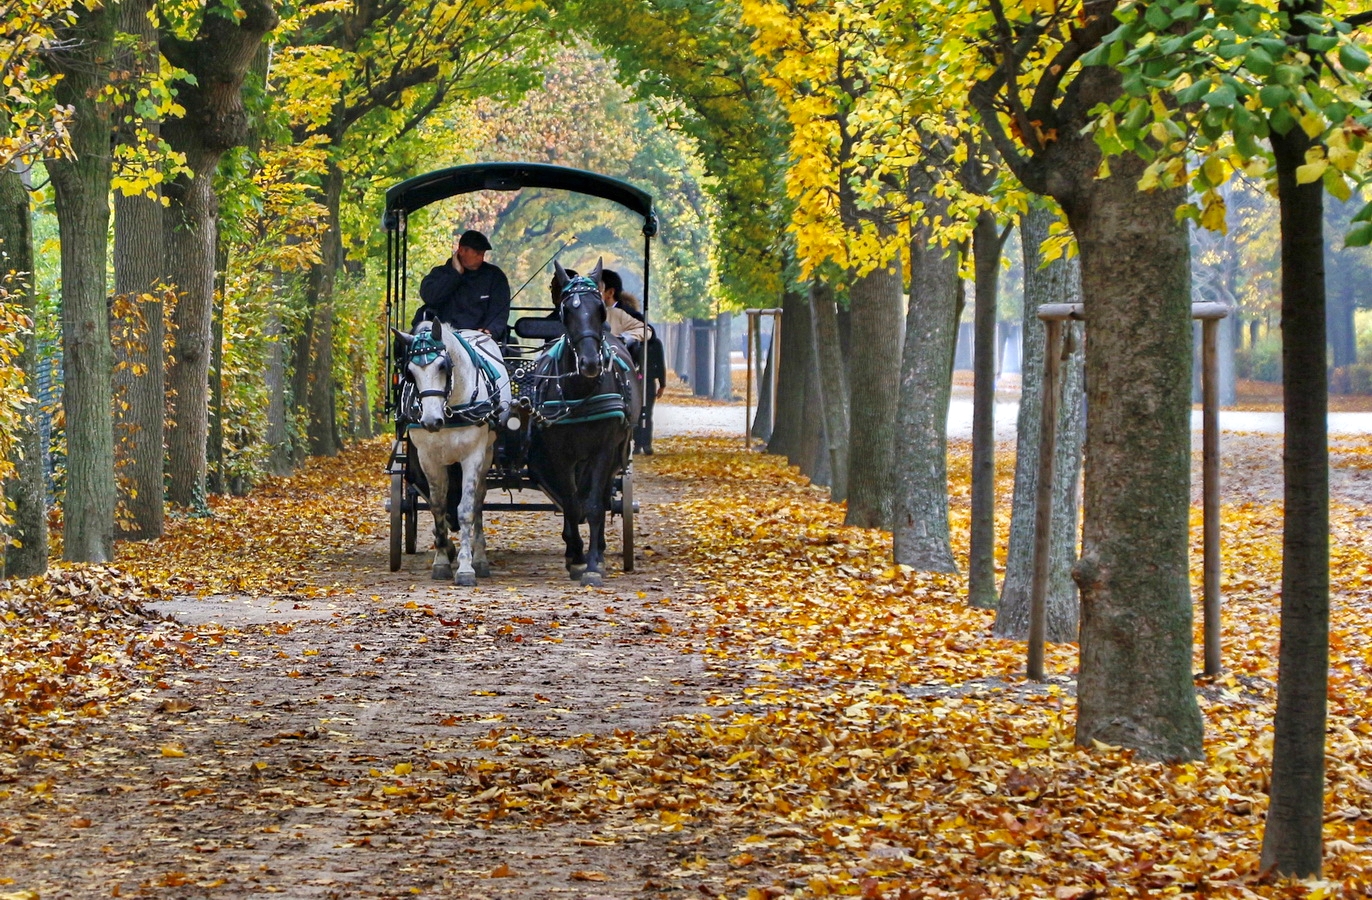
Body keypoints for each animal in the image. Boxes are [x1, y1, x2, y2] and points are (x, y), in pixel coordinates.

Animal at [395, 319, 513, 587]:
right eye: (410, 372)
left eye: (443, 366)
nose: (430, 420)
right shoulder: (429, 459)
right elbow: (438, 506)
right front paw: (441, 560)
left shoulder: (472, 456)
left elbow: (466, 509)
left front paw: (467, 567)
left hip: (486, 454)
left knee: (478, 501)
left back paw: (479, 557)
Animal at [529, 262, 647, 584]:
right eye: (565, 312)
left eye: (601, 311)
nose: (591, 363)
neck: (580, 389)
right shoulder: (560, 453)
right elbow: (570, 501)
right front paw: (578, 557)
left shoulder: (604, 450)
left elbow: (594, 505)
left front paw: (594, 564)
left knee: (603, 496)